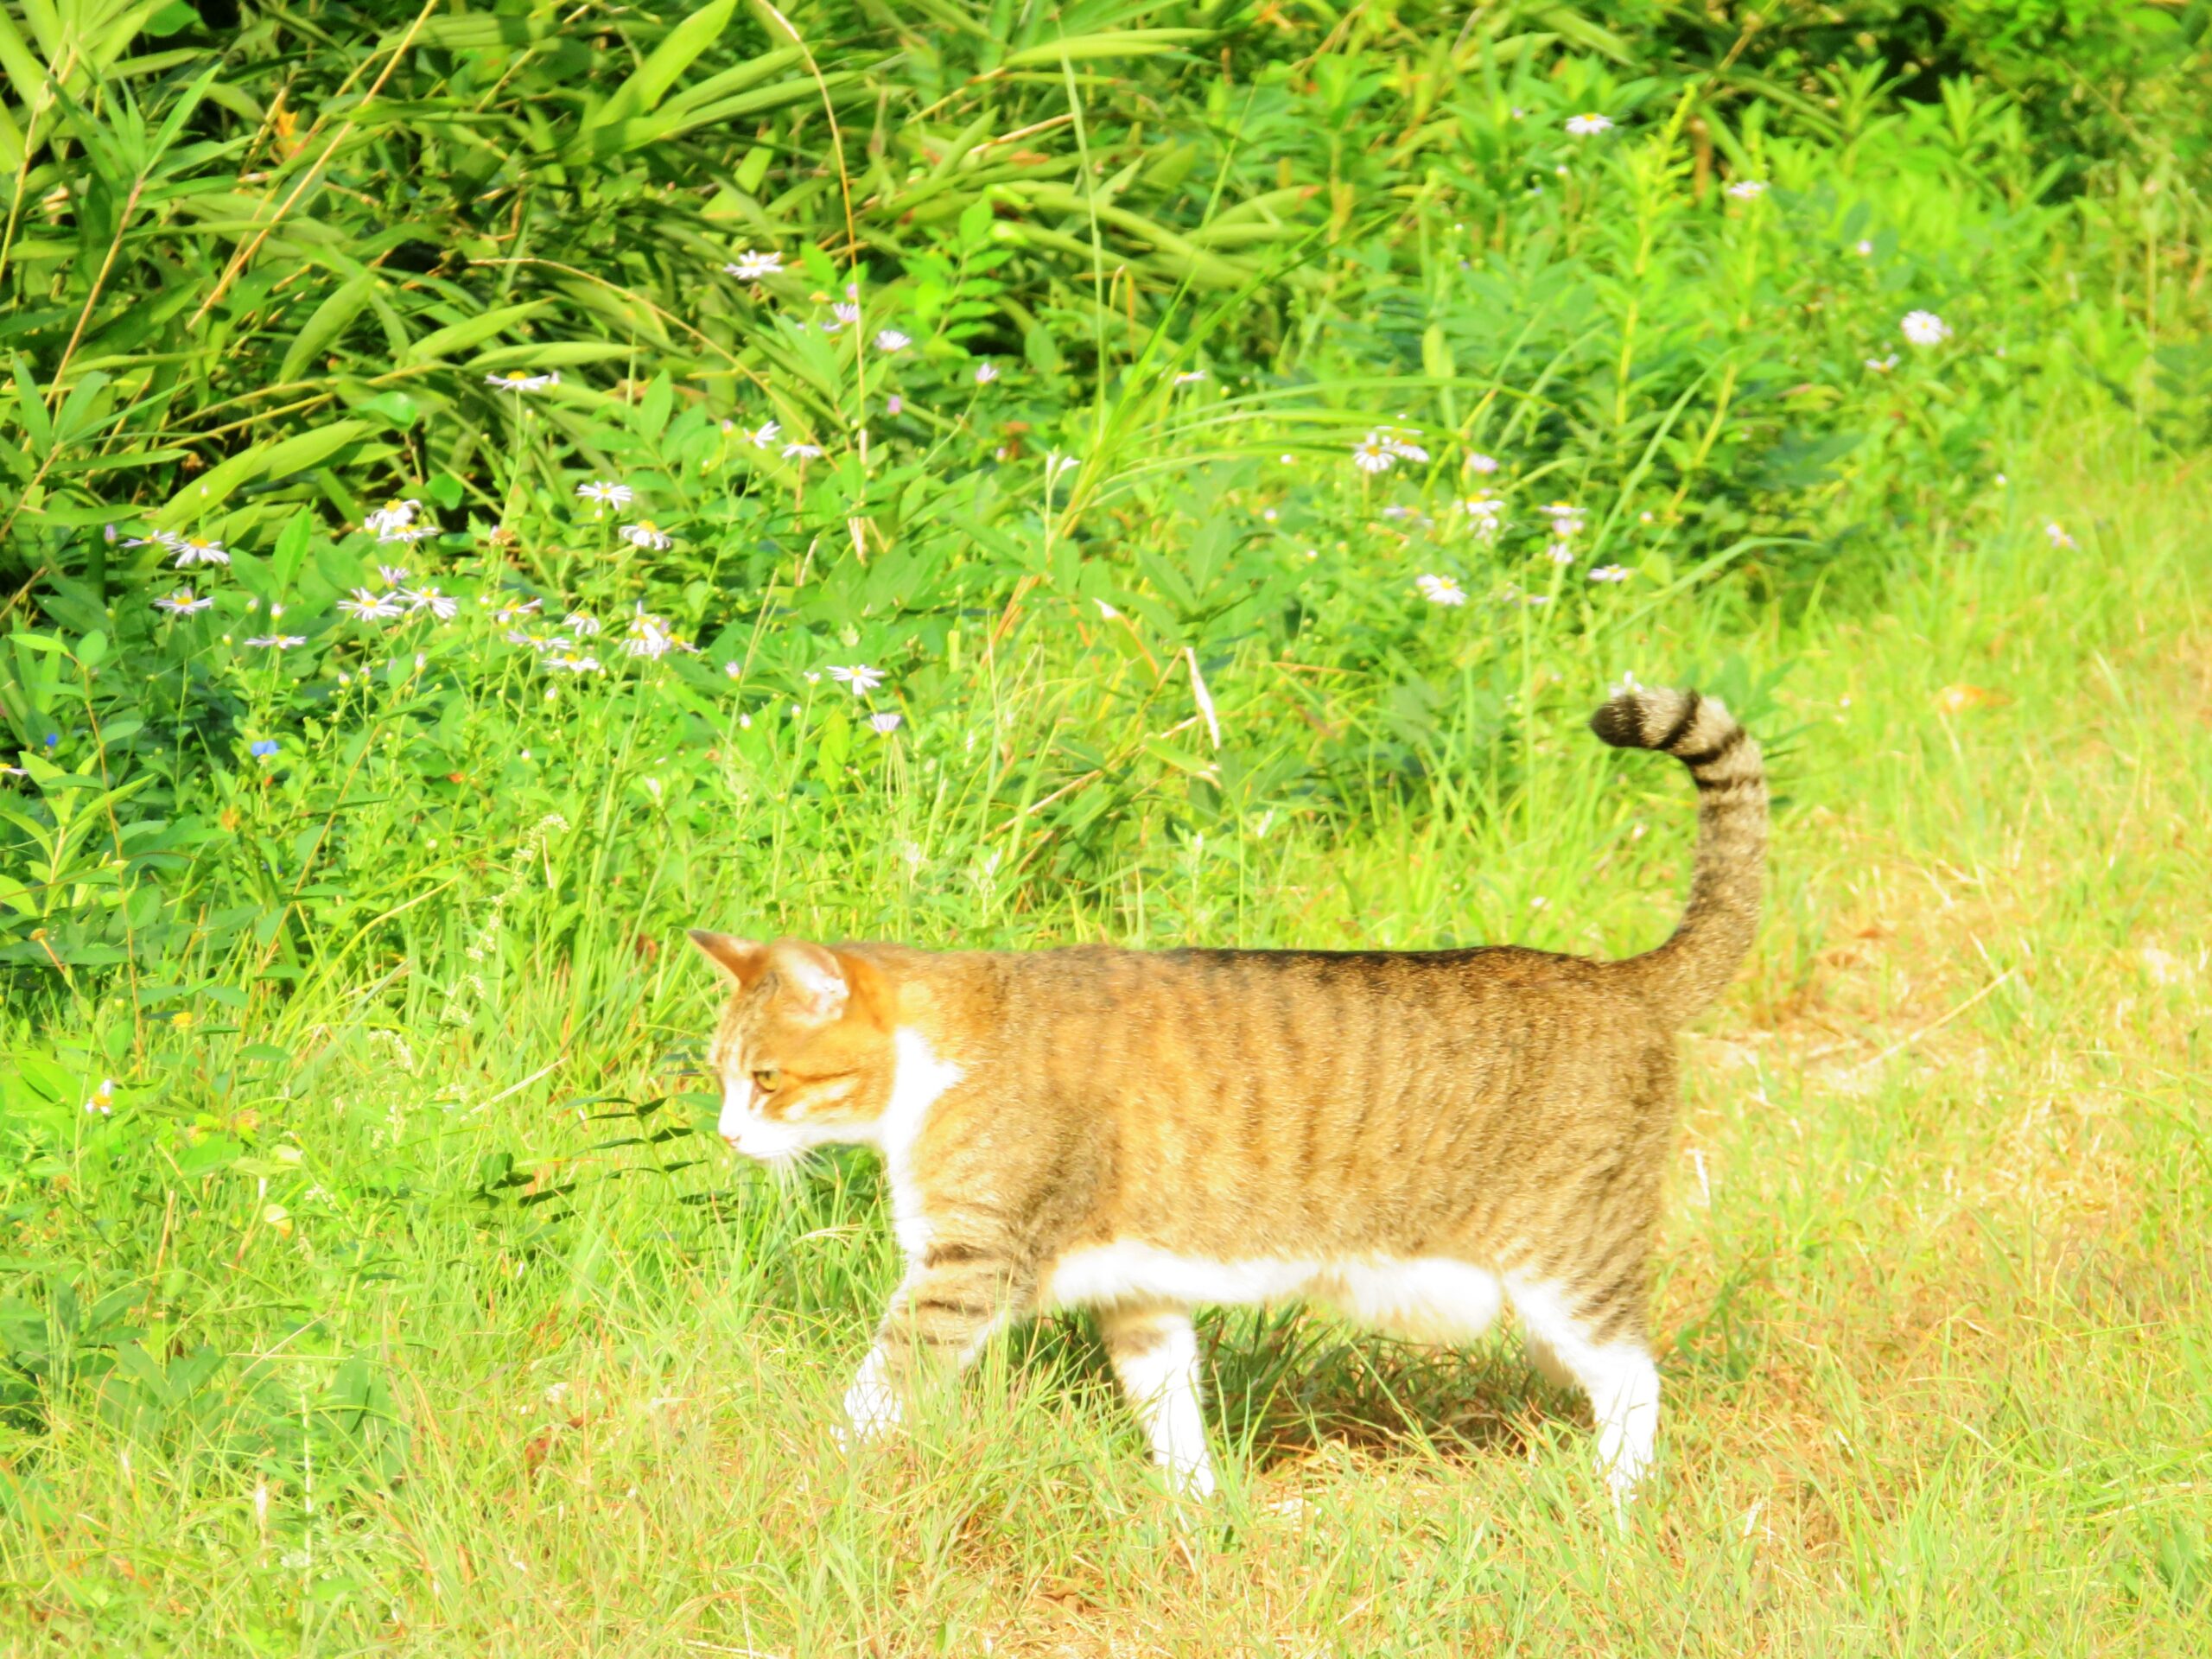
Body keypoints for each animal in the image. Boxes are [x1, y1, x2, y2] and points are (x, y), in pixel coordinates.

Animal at [685, 681, 1760, 1513]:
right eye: (722, 1077)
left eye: (766, 1079)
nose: (730, 1137)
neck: (948, 1047)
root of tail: (1621, 979)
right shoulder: (1137, 1293)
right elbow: (1170, 1410)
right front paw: (1193, 1508)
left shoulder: (969, 1265)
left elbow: (877, 1390)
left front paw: (810, 1481)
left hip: (1566, 1263)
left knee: (1634, 1379)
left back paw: (1617, 1505)